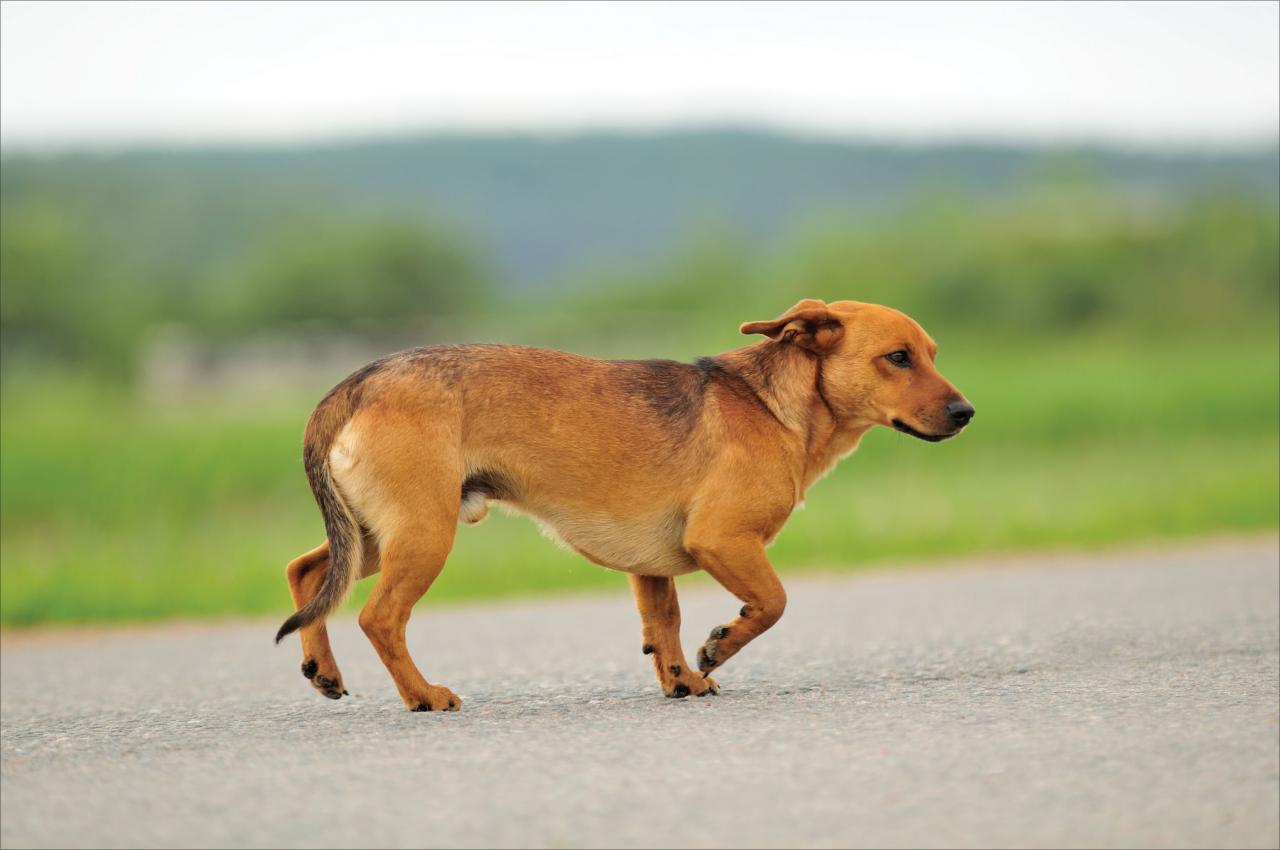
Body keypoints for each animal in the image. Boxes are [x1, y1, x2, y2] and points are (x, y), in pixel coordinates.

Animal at [277, 298, 967, 711]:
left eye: (933, 354)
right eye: (897, 358)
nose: (967, 412)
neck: (775, 404)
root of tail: (353, 385)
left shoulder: (652, 565)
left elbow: (664, 624)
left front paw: (681, 678)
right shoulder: (722, 539)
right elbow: (771, 603)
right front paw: (719, 646)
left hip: (373, 535)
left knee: (307, 572)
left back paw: (322, 670)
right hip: (422, 534)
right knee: (379, 618)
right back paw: (423, 695)